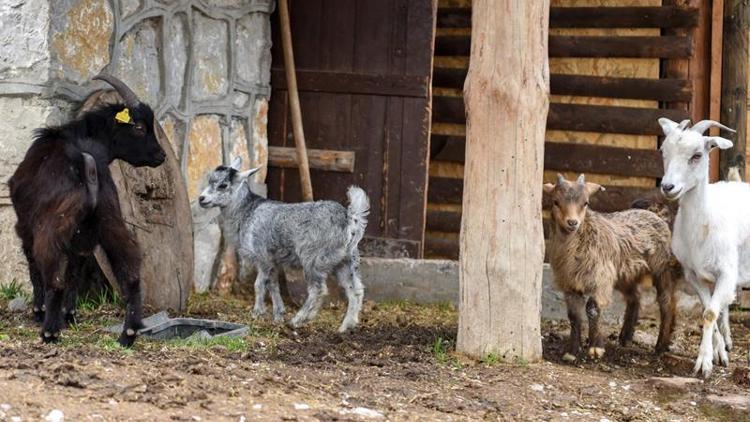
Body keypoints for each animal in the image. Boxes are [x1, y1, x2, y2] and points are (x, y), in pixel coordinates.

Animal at [7, 75, 166, 346]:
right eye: (139, 127)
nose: (161, 155)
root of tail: (86, 161)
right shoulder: (84, 235)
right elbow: (76, 269)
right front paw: (69, 315)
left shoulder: (25, 226)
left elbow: (34, 266)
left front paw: (40, 312)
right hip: (110, 219)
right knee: (130, 270)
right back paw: (128, 334)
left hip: (51, 226)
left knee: (53, 276)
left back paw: (49, 330)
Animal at [660, 117, 748, 378]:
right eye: (664, 151)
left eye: (697, 155)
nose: (668, 186)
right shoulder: (694, 275)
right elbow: (709, 310)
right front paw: (715, 355)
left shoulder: (726, 272)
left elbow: (710, 312)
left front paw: (704, 364)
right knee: (725, 307)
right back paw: (725, 343)